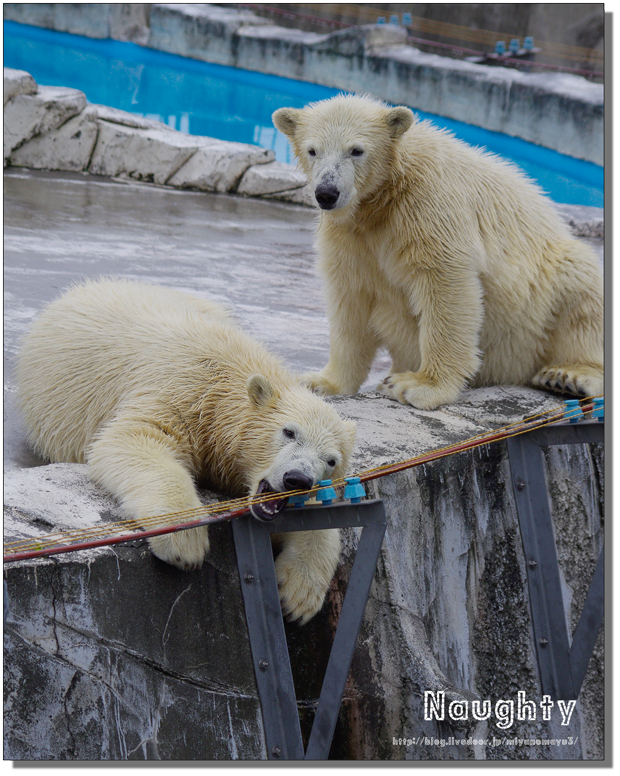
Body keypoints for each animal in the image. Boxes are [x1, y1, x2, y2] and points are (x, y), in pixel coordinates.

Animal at [17, 278, 356, 624]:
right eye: (288, 431)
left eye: (332, 460)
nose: (297, 479)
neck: (231, 374)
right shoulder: (184, 391)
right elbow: (135, 437)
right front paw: (184, 542)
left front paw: (299, 595)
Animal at [274, 93, 604, 412]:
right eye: (312, 150)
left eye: (356, 150)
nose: (326, 193)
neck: (383, 198)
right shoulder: (351, 235)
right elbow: (351, 300)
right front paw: (321, 382)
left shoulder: (429, 204)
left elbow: (445, 285)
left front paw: (419, 386)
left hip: (544, 296)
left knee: (581, 286)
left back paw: (567, 375)